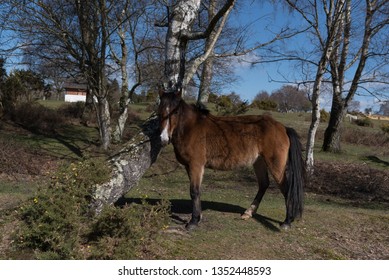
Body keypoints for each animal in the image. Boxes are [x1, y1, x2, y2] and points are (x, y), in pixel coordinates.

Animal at [156, 88, 304, 230]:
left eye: (175, 112)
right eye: (159, 110)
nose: (163, 138)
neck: (191, 128)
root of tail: (283, 128)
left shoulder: (196, 165)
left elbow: (194, 191)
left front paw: (193, 221)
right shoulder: (189, 167)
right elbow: (196, 192)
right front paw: (198, 217)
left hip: (276, 165)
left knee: (286, 189)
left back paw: (287, 222)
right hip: (259, 162)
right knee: (263, 184)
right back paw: (248, 213)